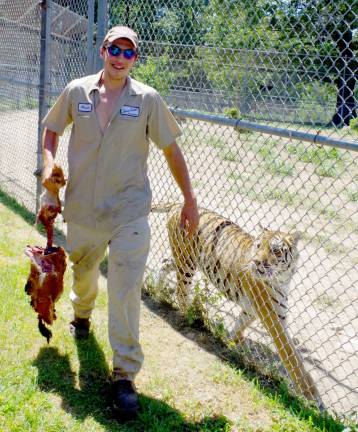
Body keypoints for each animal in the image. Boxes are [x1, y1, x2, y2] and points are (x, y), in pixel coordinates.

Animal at [151, 203, 318, 402]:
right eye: (258, 246)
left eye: (275, 250)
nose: (256, 262)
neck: (283, 279)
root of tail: (178, 205)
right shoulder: (272, 316)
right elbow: (291, 355)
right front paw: (312, 394)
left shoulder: (257, 310)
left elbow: (240, 326)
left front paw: (233, 343)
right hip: (187, 262)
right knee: (181, 291)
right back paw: (189, 314)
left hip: (182, 259)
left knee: (164, 263)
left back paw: (158, 291)